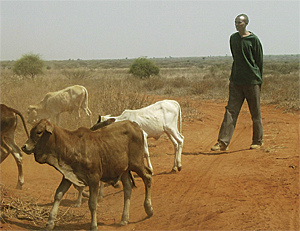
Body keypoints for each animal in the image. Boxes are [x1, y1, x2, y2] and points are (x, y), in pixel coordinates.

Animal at [21, 119, 152, 229]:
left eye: (39, 132)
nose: (24, 146)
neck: (72, 146)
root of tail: (134, 125)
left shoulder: (94, 178)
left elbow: (92, 203)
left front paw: (93, 226)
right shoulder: (68, 176)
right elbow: (58, 194)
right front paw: (50, 222)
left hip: (136, 163)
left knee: (148, 177)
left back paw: (149, 209)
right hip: (123, 169)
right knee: (128, 189)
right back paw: (124, 219)